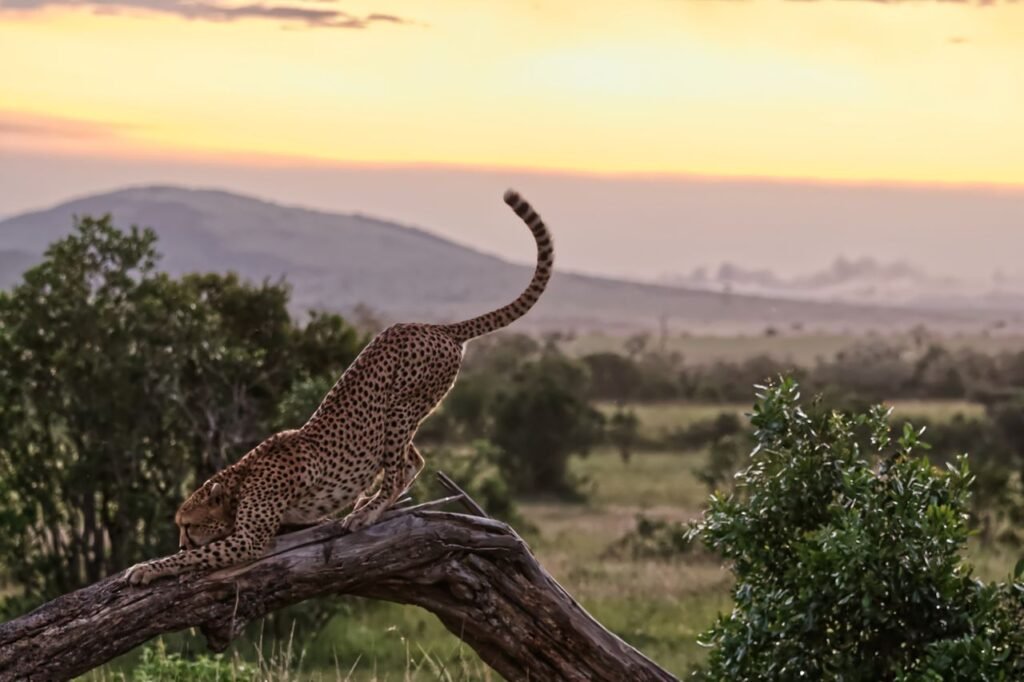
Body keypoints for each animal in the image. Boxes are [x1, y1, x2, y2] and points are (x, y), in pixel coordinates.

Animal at [125, 189, 553, 585]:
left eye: (189, 525)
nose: (181, 541)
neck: (239, 481)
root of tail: (436, 327)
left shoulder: (251, 539)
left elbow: (202, 554)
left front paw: (148, 567)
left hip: (400, 410)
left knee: (400, 468)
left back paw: (366, 513)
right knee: (414, 460)